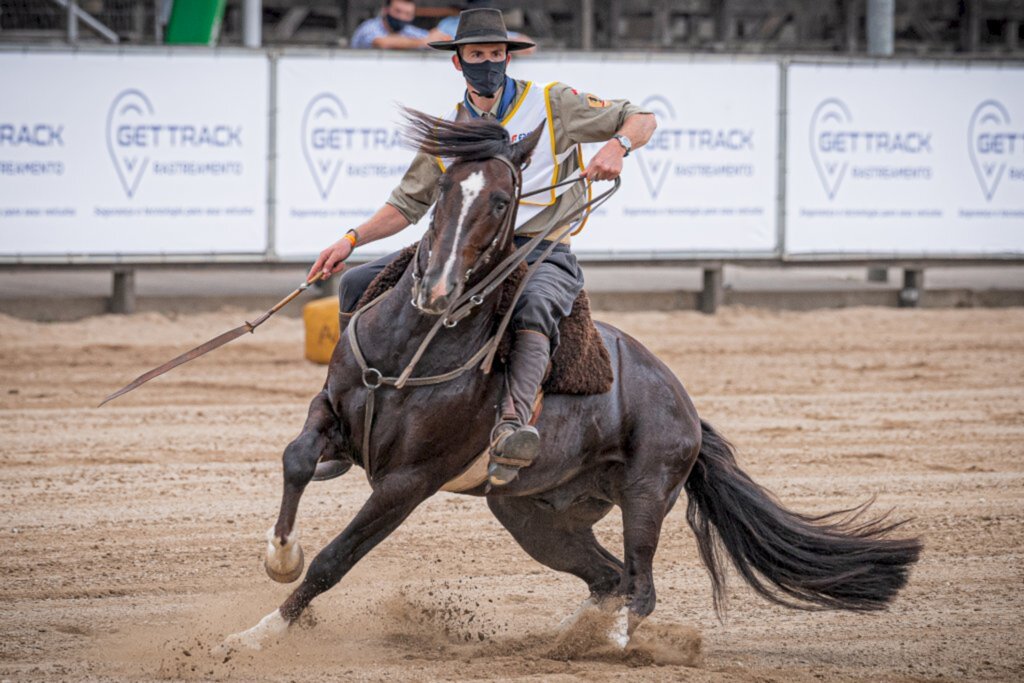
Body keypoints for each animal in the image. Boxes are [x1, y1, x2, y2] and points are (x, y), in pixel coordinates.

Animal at [222, 112, 921, 651]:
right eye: (444, 188)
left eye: (501, 200)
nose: (439, 288)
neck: (413, 345)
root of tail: (685, 404)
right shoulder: (331, 410)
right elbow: (295, 458)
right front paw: (278, 557)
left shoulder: (408, 483)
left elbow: (336, 558)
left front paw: (258, 635)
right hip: (533, 513)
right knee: (606, 578)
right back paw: (572, 638)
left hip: (645, 493)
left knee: (639, 584)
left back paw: (612, 644)